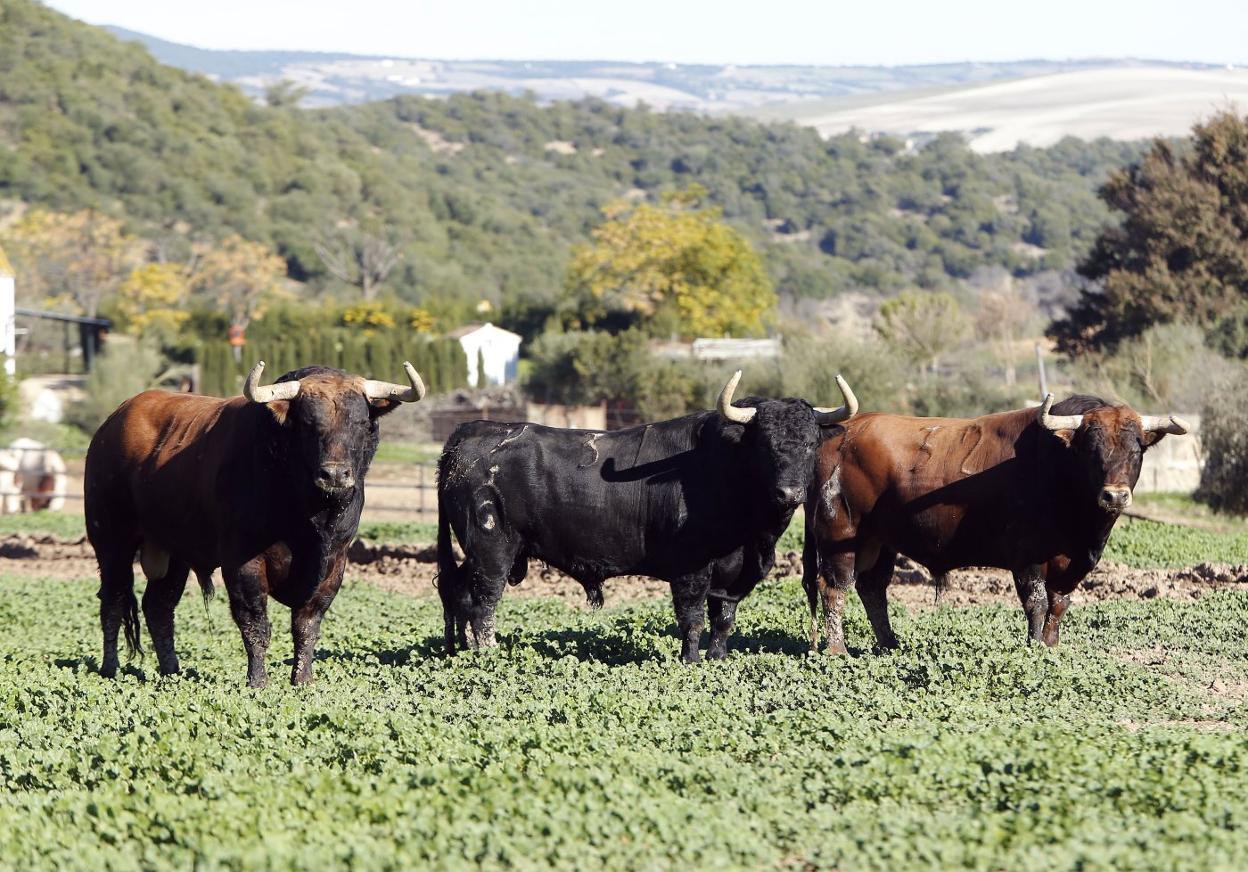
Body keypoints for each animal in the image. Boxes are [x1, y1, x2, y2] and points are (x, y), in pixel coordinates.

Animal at [85, 361, 424, 688]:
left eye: (361, 424)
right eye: (308, 424)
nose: (335, 475)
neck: (308, 518)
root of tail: (114, 421)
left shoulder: (334, 564)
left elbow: (307, 625)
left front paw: (303, 681)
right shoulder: (243, 562)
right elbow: (255, 624)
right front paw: (257, 682)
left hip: (174, 552)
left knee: (158, 607)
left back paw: (172, 671)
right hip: (111, 539)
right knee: (113, 601)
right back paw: (110, 668)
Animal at [434, 374, 853, 663]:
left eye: (810, 444)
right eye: (764, 444)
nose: (790, 494)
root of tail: (473, 431)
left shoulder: (733, 576)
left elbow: (723, 618)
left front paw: (718, 658)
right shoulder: (690, 569)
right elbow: (692, 618)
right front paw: (691, 660)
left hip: (474, 552)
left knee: (456, 593)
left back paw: (458, 649)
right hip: (492, 550)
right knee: (483, 603)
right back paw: (487, 655)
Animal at [798, 396, 1188, 653]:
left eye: (1136, 449)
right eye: (1091, 448)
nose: (1115, 496)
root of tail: (840, 432)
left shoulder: (1073, 564)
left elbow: (1059, 605)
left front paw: (1051, 647)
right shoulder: (1028, 558)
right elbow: (1037, 603)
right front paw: (1034, 648)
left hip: (880, 542)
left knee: (872, 588)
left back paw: (890, 645)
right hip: (842, 534)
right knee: (834, 587)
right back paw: (837, 651)